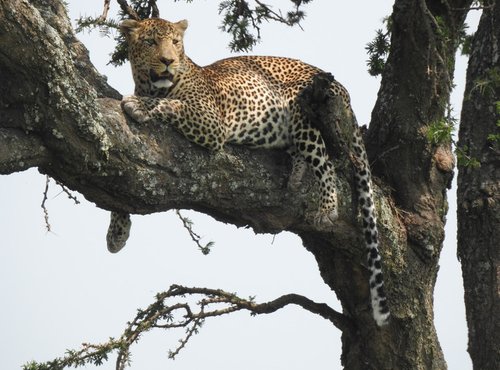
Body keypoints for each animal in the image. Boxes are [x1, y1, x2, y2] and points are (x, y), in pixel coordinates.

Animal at [108, 17, 390, 326]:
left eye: (175, 42)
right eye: (150, 42)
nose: (168, 61)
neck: (151, 86)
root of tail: (342, 89)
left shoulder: (211, 122)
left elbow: (172, 105)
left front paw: (138, 105)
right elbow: (123, 184)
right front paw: (116, 233)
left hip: (302, 104)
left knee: (324, 160)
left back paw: (326, 207)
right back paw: (295, 175)